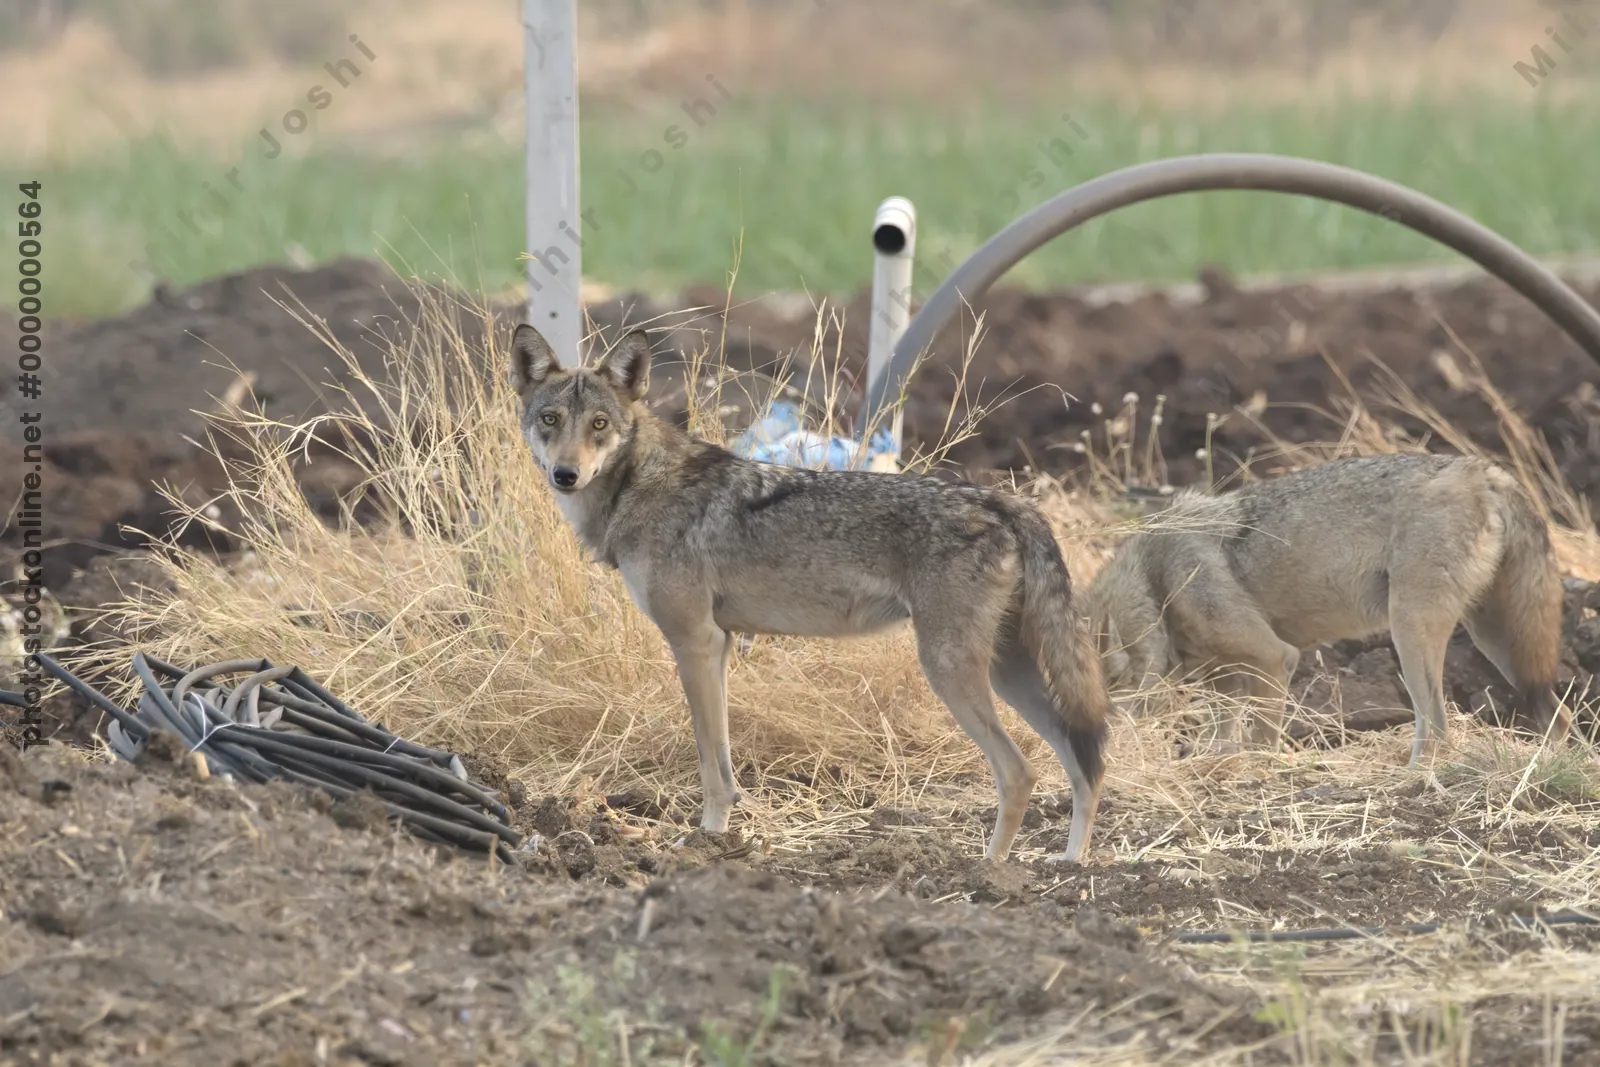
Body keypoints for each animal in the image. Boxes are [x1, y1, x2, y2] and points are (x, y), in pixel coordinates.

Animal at [507, 324, 1112, 863]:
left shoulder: (695, 642)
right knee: (1085, 760)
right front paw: (720, 835)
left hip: (951, 670)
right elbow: (723, 760)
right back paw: (1069, 863)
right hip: (1007, 671)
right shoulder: (720, 646)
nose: (565, 474)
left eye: (600, 425)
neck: (639, 482)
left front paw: (703, 840)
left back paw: (990, 870)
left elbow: (708, 762)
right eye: (550, 420)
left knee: (1020, 770)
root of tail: (1007, 502)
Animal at [1082, 453, 1569, 765]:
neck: (1156, 579)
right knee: (1557, 717)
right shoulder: (1227, 681)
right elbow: (1223, 738)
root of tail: (1483, 469)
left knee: (1436, 727)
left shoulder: (1275, 658)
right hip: (1496, 643)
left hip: (1409, 634)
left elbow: (1261, 742)